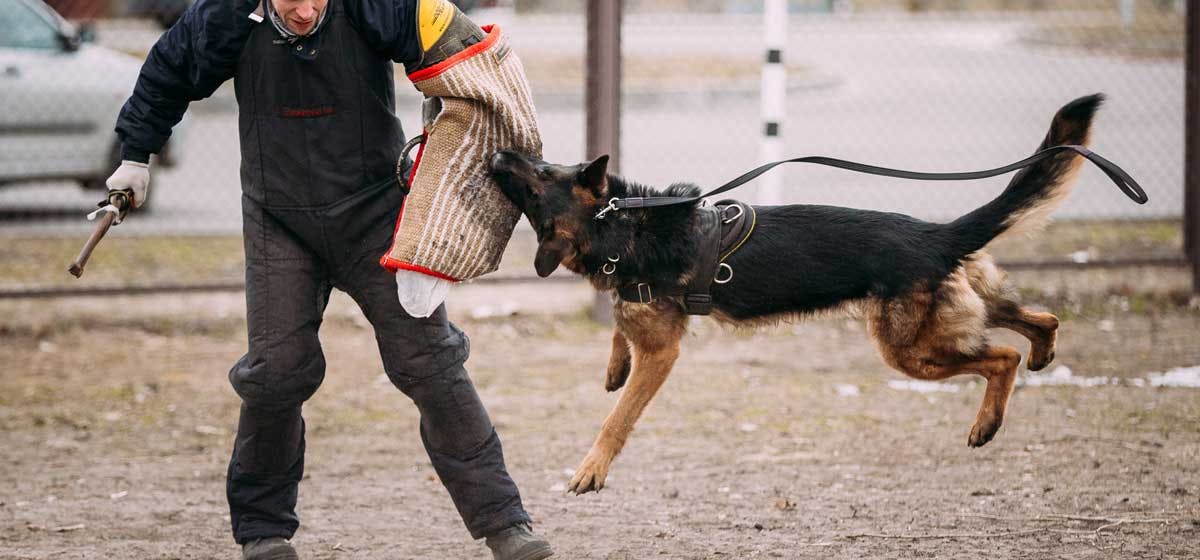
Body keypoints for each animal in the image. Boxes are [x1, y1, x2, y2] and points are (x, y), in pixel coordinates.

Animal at [489, 94, 1104, 496]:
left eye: (541, 175)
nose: (498, 153)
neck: (621, 223)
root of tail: (937, 234)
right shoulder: (641, 319)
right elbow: (620, 331)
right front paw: (614, 364)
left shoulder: (663, 355)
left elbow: (617, 417)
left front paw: (591, 469)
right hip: (964, 308)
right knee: (1039, 320)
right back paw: (1043, 353)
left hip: (910, 351)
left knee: (1001, 358)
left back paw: (987, 422)